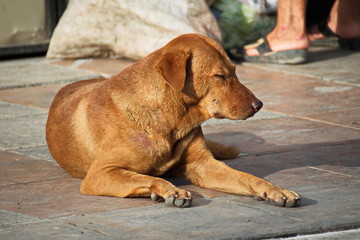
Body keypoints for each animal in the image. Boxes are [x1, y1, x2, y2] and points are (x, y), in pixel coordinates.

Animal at [47, 33, 300, 208]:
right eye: (220, 76)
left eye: (235, 71)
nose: (259, 105)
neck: (172, 119)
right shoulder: (99, 174)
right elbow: (145, 177)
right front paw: (170, 190)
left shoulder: (203, 165)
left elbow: (248, 177)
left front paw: (275, 190)